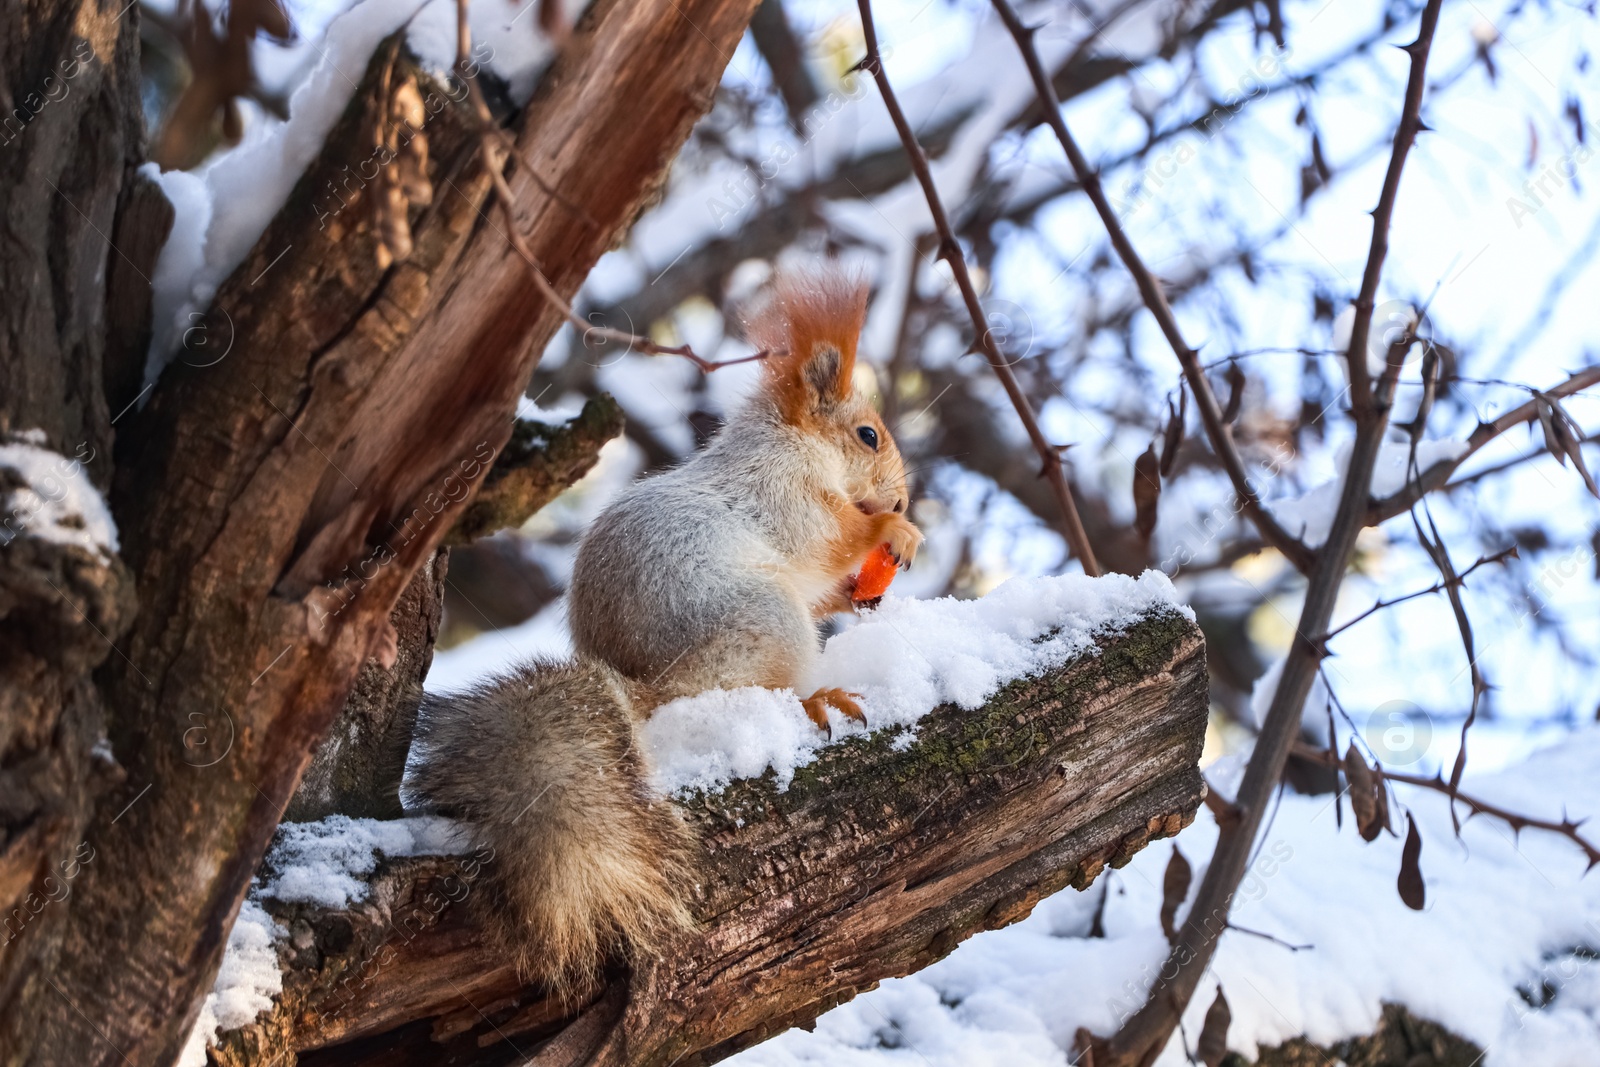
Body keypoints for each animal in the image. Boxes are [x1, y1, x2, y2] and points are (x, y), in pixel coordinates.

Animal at [406, 271, 921, 998]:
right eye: (869, 434)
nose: (901, 499)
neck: (788, 445)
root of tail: (649, 687)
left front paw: (865, 578)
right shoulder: (785, 497)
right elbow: (831, 539)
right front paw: (892, 532)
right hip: (764, 620)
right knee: (749, 692)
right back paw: (816, 699)